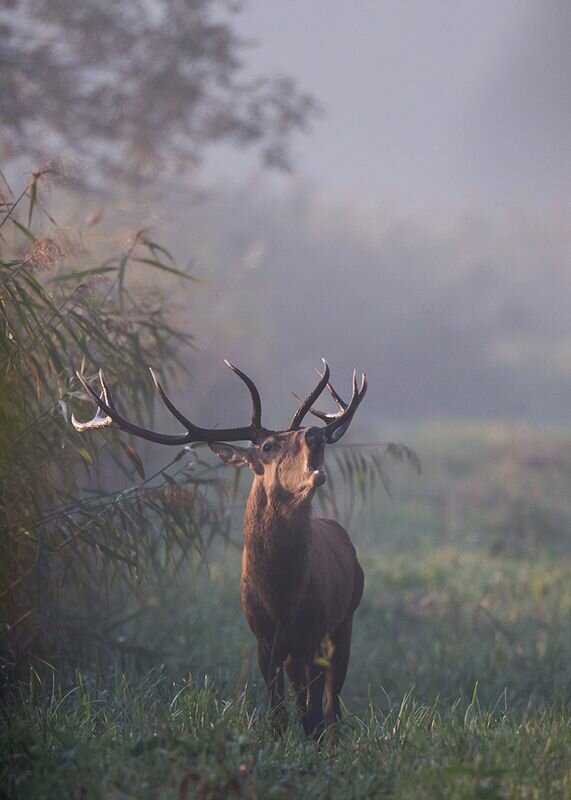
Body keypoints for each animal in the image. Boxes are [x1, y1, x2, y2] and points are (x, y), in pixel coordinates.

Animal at [72, 359, 366, 737]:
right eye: (268, 446)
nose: (315, 432)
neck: (281, 598)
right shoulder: (264, 640)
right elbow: (278, 715)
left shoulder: (315, 633)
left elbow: (315, 715)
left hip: (346, 618)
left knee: (332, 707)